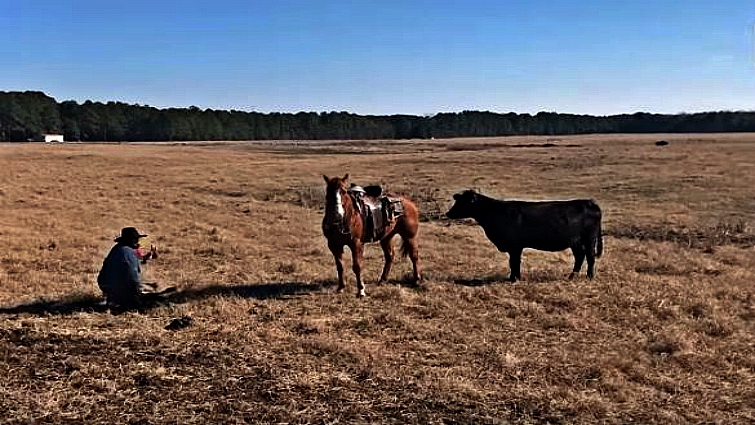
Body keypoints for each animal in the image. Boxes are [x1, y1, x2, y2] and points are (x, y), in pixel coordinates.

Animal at [445, 190, 603, 281]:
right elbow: (514, 262)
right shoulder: (513, 247)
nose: (448, 213)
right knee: (580, 256)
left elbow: (514, 262)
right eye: (458, 200)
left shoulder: (515, 246)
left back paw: (589, 277)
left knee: (590, 257)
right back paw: (571, 277)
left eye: (463, 202)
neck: (495, 212)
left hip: (589, 239)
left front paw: (514, 278)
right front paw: (514, 277)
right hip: (575, 242)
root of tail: (590, 202)